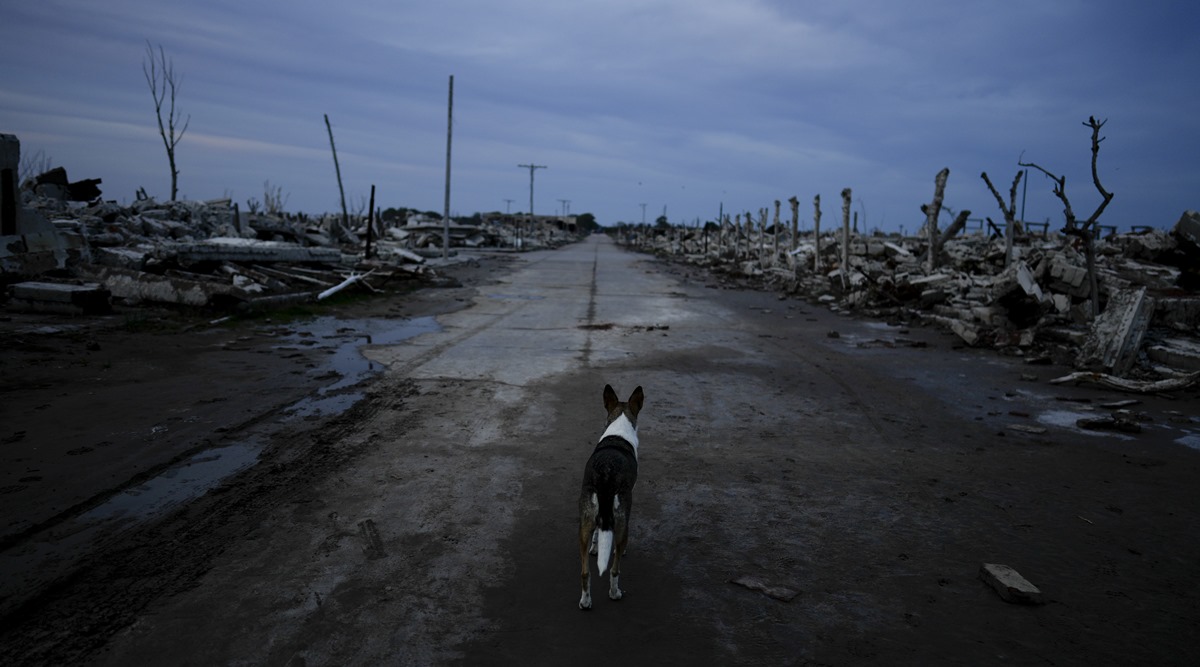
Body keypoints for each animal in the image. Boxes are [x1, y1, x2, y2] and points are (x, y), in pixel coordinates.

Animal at [576, 386, 643, 609]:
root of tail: (606, 475)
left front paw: (595, 549)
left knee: (585, 572)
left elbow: (598, 535)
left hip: (584, 523)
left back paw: (585, 601)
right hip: (622, 521)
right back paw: (615, 593)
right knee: (614, 569)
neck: (618, 428)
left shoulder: (597, 517)